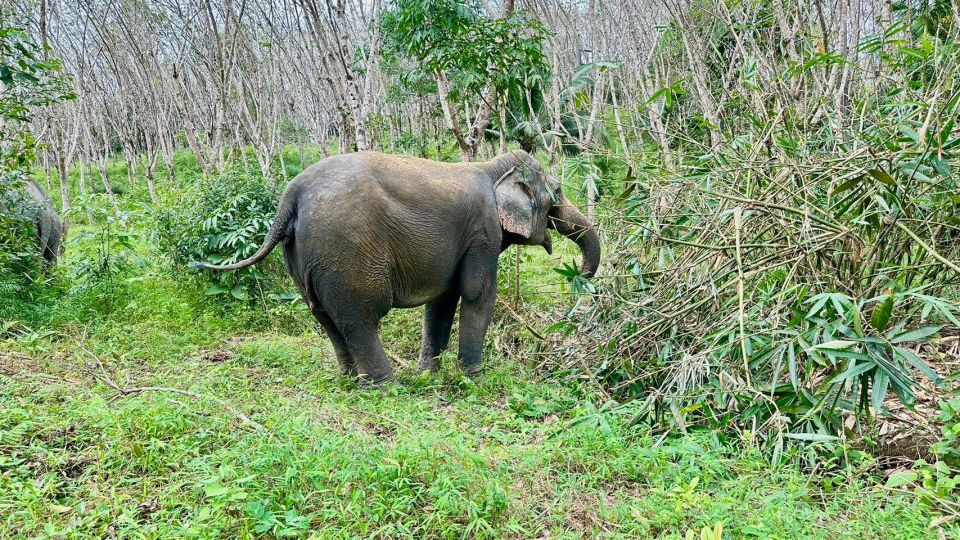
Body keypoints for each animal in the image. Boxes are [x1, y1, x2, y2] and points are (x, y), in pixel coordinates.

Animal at [192, 151, 600, 384]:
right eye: (558, 192)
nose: (578, 276)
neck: (491, 166)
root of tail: (290, 196)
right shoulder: (482, 232)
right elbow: (477, 293)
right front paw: (475, 380)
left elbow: (442, 301)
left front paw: (429, 376)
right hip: (346, 251)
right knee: (360, 318)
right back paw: (384, 385)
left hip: (302, 255)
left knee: (323, 315)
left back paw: (349, 380)